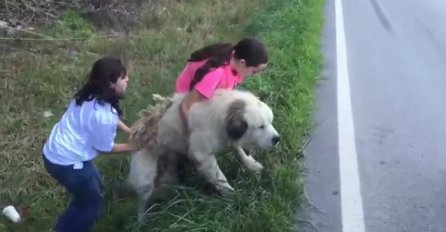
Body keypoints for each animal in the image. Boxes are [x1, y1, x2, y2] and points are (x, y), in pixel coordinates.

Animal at [126, 88, 278, 218]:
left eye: (271, 122)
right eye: (261, 126)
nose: (277, 139)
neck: (221, 113)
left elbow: (238, 150)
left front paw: (251, 164)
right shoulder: (202, 155)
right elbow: (219, 177)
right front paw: (233, 196)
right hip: (145, 179)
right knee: (142, 203)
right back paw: (143, 221)